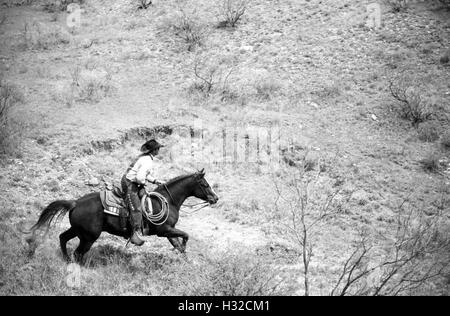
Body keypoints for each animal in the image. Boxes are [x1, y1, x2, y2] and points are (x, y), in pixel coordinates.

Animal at [27, 170, 218, 264]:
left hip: (78, 230)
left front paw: (187, 260)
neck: (168, 200)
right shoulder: (165, 230)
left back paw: (65, 260)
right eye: (205, 184)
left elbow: (179, 244)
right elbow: (185, 236)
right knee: (78, 253)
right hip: (89, 237)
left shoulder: (169, 232)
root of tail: (75, 203)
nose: (215, 198)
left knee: (63, 238)